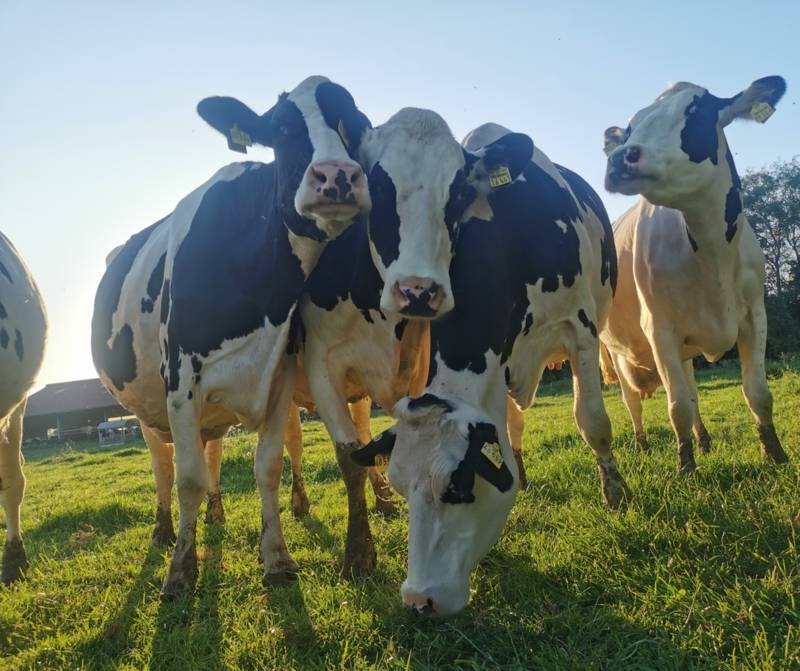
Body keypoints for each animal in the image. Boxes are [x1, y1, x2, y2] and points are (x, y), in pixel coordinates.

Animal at [91, 75, 371, 595]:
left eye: (355, 123)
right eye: (282, 129)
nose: (338, 176)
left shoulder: (278, 374)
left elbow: (268, 467)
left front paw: (276, 557)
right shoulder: (180, 381)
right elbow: (187, 479)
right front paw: (181, 570)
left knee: (212, 450)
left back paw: (215, 514)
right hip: (145, 409)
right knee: (164, 466)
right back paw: (164, 532)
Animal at [353, 122, 626, 616]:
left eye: (458, 486)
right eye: (400, 487)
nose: (418, 600)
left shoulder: (580, 328)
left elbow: (593, 421)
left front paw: (615, 495)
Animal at [600, 76, 789, 473]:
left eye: (695, 111)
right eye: (629, 128)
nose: (620, 157)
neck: (713, 254)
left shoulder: (755, 314)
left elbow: (757, 393)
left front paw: (775, 454)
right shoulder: (659, 330)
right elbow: (676, 408)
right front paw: (685, 468)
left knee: (692, 392)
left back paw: (704, 441)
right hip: (613, 351)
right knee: (632, 401)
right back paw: (643, 446)